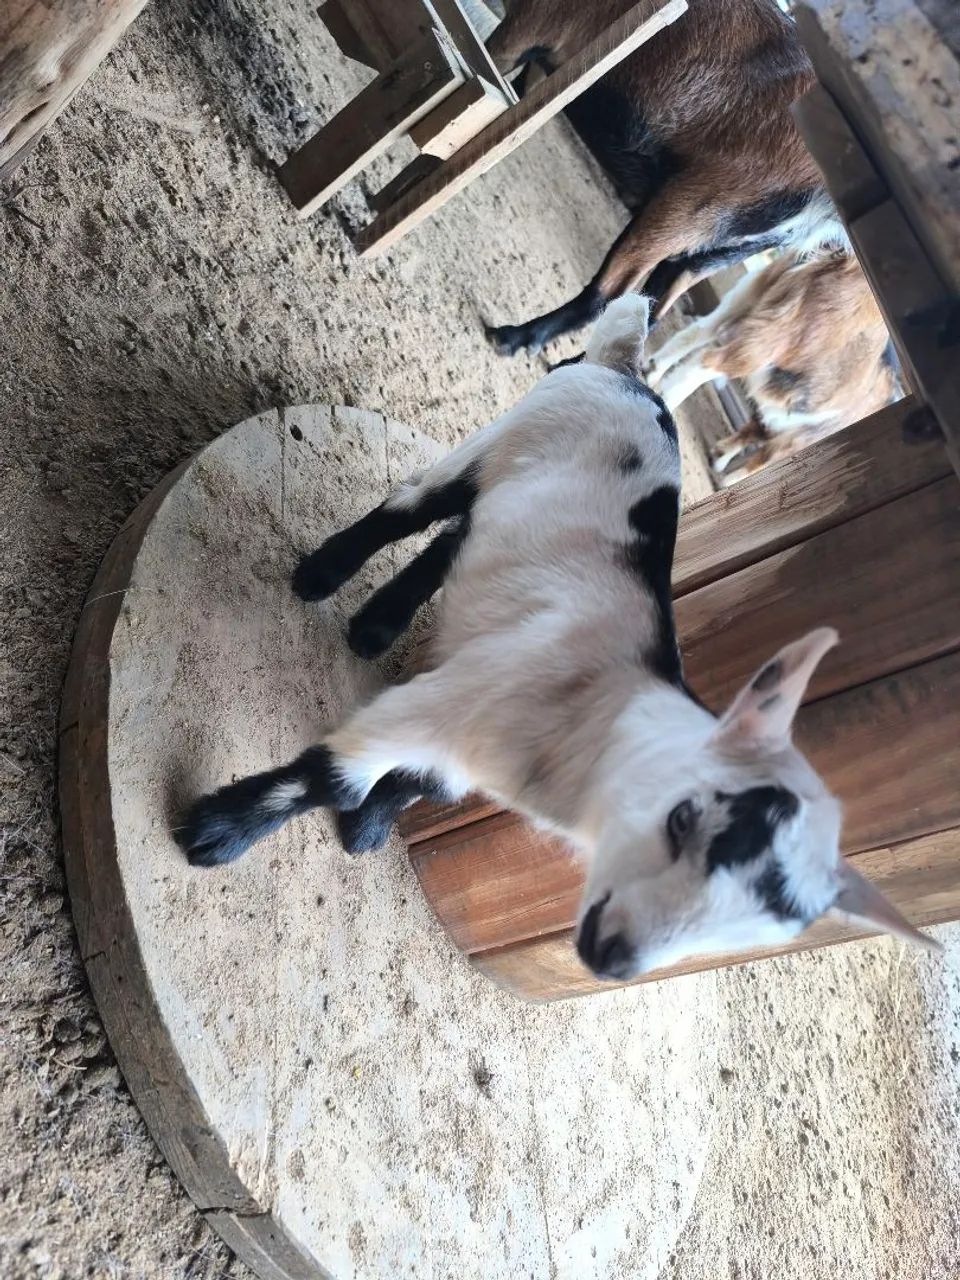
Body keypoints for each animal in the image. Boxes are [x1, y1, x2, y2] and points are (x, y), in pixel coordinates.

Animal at [176, 296, 936, 978]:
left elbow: (421, 781)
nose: (618, 959)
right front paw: (217, 833)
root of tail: (627, 371)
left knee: (455, 539)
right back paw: (321, 578)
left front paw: (367, 828)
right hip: (500, 437)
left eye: (772, 927)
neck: (596, 717)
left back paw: (375, 625)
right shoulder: (446, 700)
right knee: (414, 507)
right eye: (687, 822)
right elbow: (333, 777)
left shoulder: (463, 735)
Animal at [483, 0, 844, 357]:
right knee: (650, 310)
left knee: (607, 294)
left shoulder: (525, 31)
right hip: (718, 249)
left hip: (688, 207)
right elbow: (521, 97)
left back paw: (513, 337)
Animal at [646, 249, 901, 476]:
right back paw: (665, 401)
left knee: (700, 331)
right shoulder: (795, 439)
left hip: (752, 294)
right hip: (767, 342)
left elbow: (754, 431)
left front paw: (719, 458)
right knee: (705, 362)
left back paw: (651, 370)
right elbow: (760, 461)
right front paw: (728, 478)